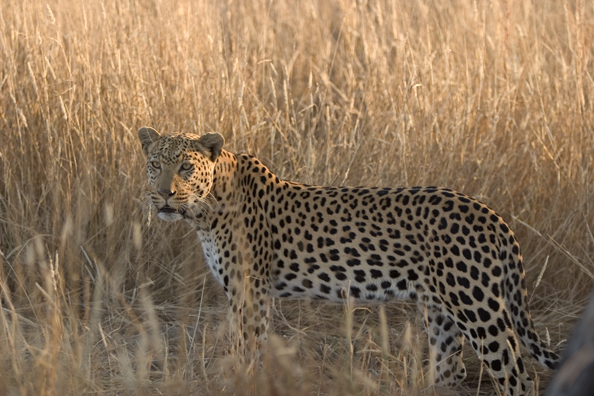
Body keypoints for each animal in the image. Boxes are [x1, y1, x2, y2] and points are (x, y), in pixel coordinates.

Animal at [136, 127, 556, 396]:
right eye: (155, 165)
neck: (206, 208)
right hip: (441, 313)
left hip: (478, 307)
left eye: (186, 167)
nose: (164, 195)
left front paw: (240, 382)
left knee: (518, 376)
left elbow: (246, 348)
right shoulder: (253, 294)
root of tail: (493, 217)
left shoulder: (248, 292)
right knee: (451, 371)